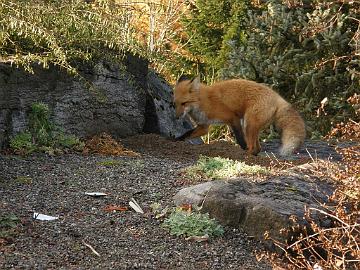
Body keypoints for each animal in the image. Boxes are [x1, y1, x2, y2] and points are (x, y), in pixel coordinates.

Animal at [173, 75, 306, 156]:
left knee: (253, 147)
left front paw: (242, 148)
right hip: (251, 126)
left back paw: (245, 155)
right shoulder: (204, 126)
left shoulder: (233, 118)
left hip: (248, 124)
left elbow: (240, 139)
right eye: (175, 104)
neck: (203, 102)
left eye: (184, 103)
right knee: (258, 148)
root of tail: (278, 97)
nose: (176, 117)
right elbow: (187, 134)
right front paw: (176, 140)